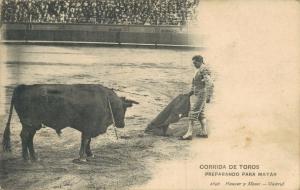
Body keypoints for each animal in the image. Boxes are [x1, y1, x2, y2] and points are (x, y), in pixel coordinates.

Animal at [2, 84, 138, 162]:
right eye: (121, 108)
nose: (122, 124)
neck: (106, 100)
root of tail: (23, 87)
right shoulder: (89, 127)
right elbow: (85, 140)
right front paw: (82, 157)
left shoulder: (88, 128)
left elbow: (88, 141)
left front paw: (89, 154)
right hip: (30, 124)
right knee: (25, 137)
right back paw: (26, 158)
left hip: (33, 125)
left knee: (29, 138)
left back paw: (34, 157)